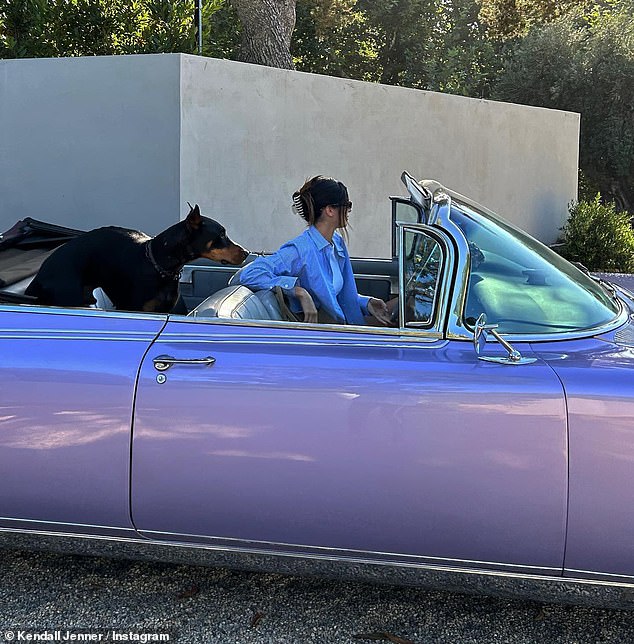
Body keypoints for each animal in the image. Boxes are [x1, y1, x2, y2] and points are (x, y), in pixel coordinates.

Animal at [24, 203, 248, 310]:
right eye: (221, 235)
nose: (246, 253)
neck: (158, 263)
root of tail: (38, 278)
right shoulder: (137, 307)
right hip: (69, 295)